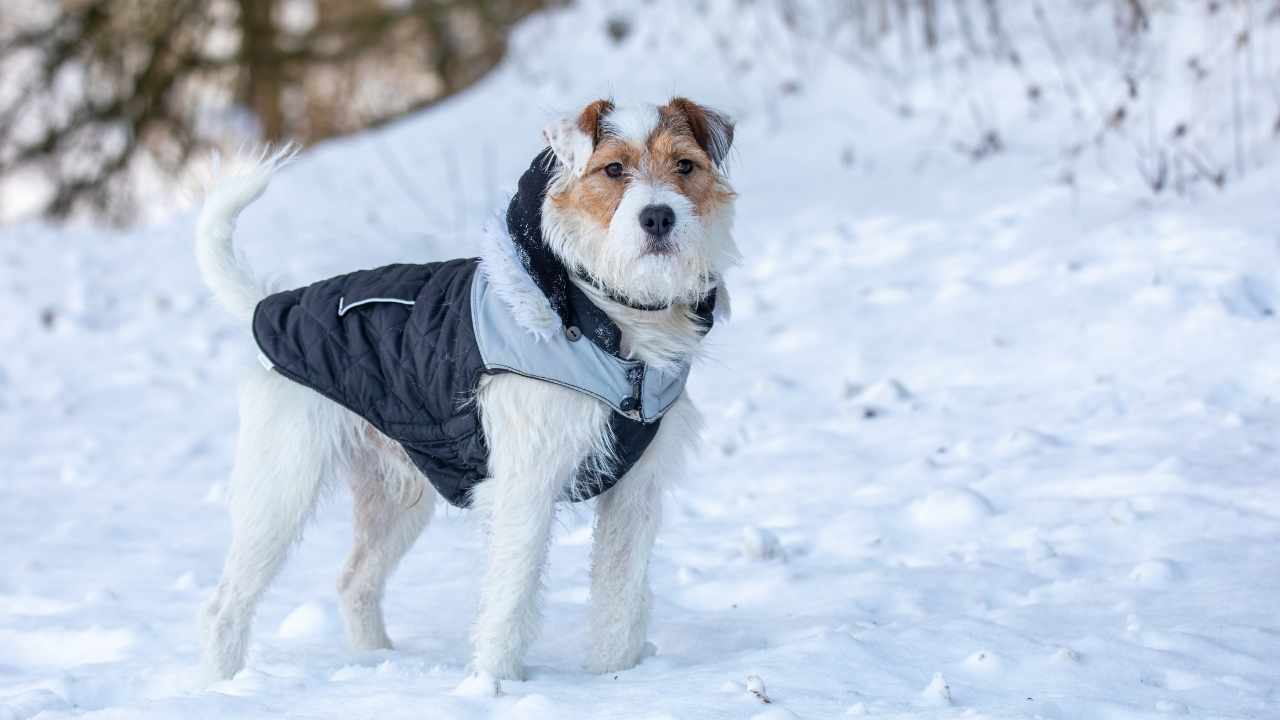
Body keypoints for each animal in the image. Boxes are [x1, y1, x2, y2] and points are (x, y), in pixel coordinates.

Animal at [195, 96, 747, 681]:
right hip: (281, 488)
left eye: (685, 165)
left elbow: (619, 597)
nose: (658, 216)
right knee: (224, 604)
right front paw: (493, 684)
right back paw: (221, 683)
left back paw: (376, 662)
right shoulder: (525, 487)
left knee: (353, 582)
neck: (605, 318)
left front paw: (615, 677)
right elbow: (510, 600)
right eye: (613, 169)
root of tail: (267, 303)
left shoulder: (635, 492)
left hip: (396, 497)